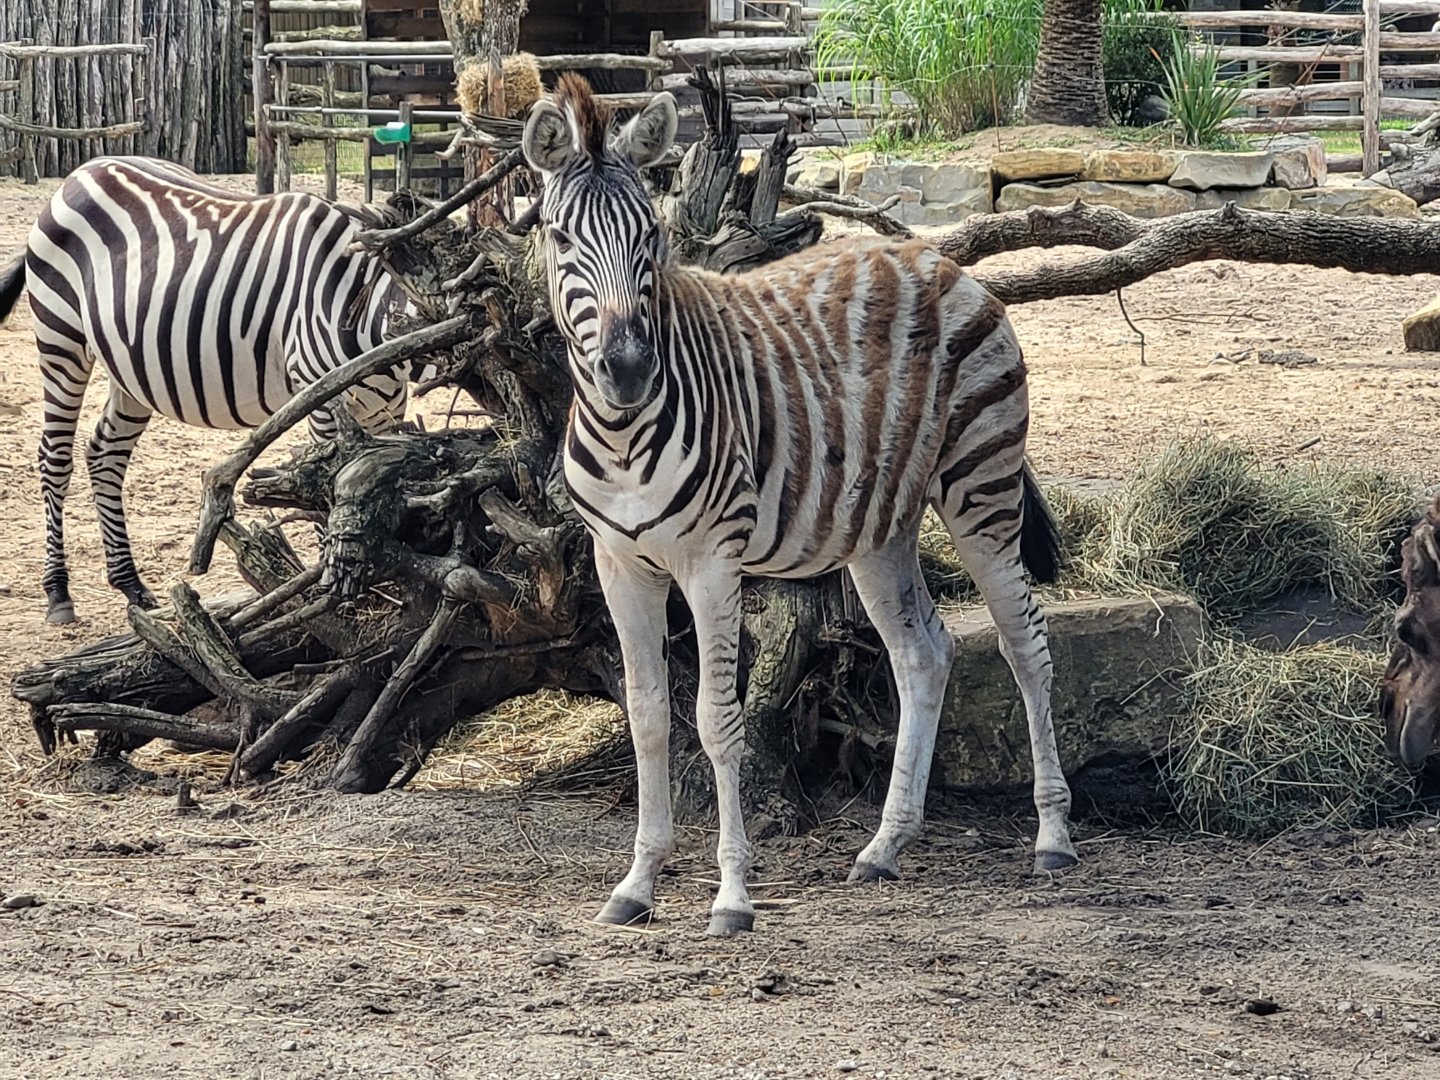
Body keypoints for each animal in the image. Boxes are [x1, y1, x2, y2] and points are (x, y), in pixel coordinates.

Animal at [0, 156, 419, 625]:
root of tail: (83, 171)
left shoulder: (385, 412)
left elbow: (386, 486)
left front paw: (389, 580)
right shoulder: (322, 397)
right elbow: (326, 491)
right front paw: (337, 592)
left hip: (131, 368)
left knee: (105, 452)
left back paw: (129, 583)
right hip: (61, 338)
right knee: (54, 458)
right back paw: (58, 593)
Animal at [521, 74, 1078, 937]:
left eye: (650, 235)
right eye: (557, 234)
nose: (628, 368)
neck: (622, 432)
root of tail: (933, 254)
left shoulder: (712, 563)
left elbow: (717, 722)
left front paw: (731, 896)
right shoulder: (620, 564)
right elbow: (647, 717)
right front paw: (637, 884)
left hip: (981, 486)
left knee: (1027, 647)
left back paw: (1052, 837)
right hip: (882, 526)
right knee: (924, 654)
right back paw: (884, 847)